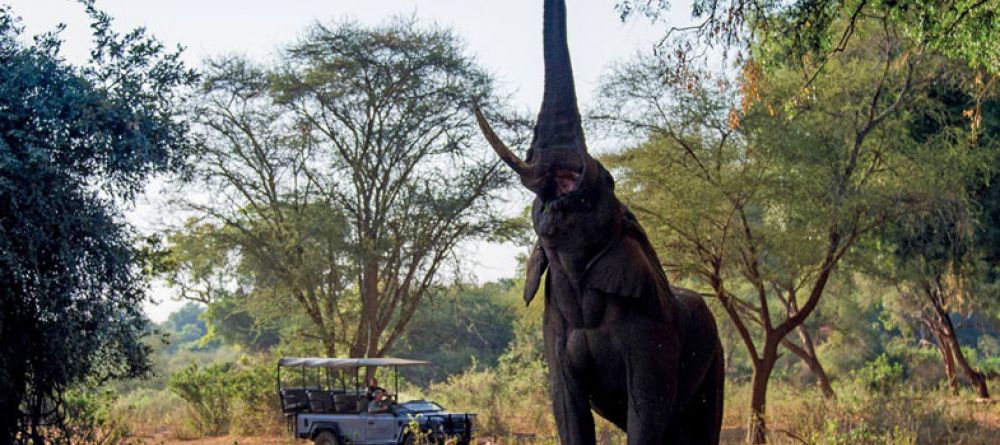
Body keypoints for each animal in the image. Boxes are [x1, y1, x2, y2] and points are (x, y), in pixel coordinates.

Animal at [472, 0, 724, 444]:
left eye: (607, 181)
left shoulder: (654, 334)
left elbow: (646, 412)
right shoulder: (553, 338)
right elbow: (568, 411)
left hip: (716, 357)